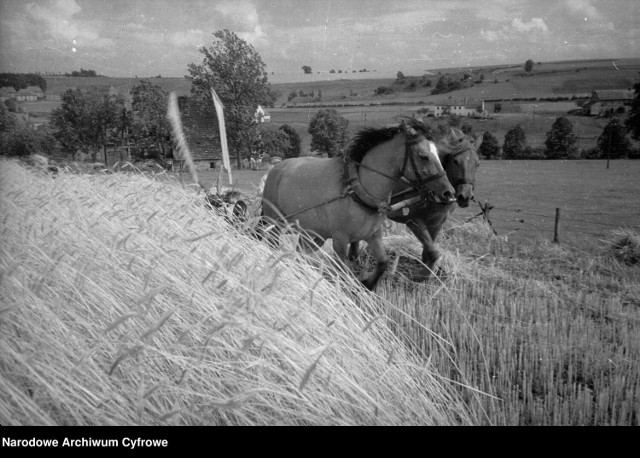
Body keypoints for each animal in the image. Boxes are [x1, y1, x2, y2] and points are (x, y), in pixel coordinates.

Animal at [260, 119, 456, 290]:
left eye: (440, 155)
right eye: (423, 156)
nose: (449, 193)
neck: (358, 190)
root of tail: (276, 169)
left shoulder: (373, 235)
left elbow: (384, 262)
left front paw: (367, 284)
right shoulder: (340, 240)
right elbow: (343, 270)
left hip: (312, 234)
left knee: (300, 254)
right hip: (274, 223)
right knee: (271, 243)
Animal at [348, 127, 482, 280]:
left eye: (477, 163)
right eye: (455, 161)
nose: (465, 196)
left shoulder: (436, 224)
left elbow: (428, 251)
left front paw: (425, 272)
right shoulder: (413, 221)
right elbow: (433, 252)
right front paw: (421, 275)